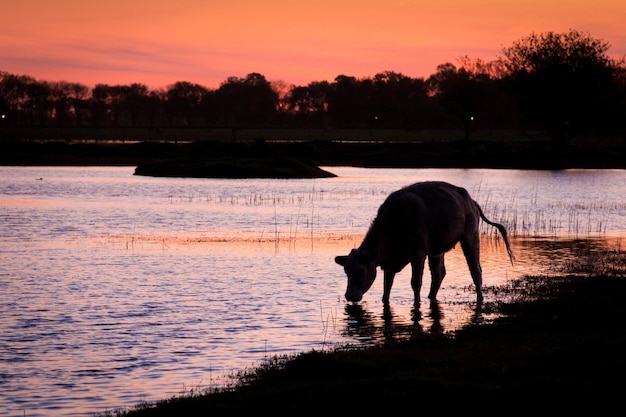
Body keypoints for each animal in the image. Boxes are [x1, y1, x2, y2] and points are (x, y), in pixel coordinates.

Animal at [334, 180, 510, 304]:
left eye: (361, 271)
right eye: (346, 271)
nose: (349, 296)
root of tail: (469, 200)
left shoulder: (418, 255)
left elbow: (415, 282)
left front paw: (417, 303)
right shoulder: (389, 264)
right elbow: (387, 286)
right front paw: (385, 301)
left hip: (470, 238)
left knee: (476, 271)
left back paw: (480, 298)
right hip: (437, 250)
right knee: (439, 274)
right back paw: (431, 297)